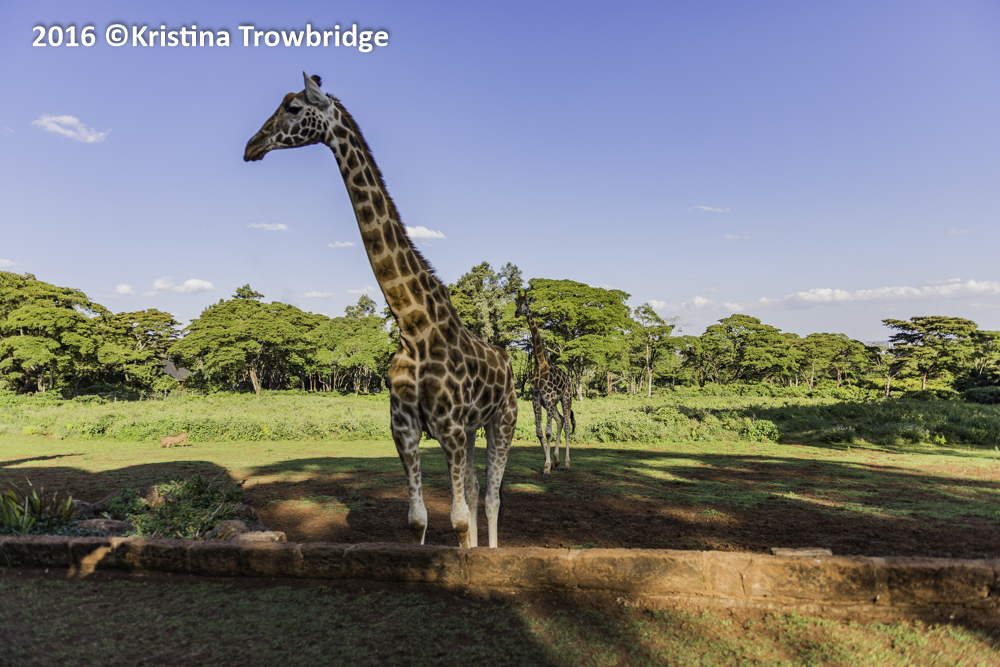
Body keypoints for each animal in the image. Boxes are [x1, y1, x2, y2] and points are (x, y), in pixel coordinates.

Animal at [244, 73, 518, 549]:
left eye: (294, 108)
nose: (251, 145)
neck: (414, 323)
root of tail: (507, 360)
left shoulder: (448, 426)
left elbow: (459, 520)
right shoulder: (405, 427)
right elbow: (419, 520)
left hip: (504, 420)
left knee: (490, 497)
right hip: (472, 430)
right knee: (475, 490)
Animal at [515, 291, 575, 478]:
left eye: (527, 303)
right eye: (516, 302)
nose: (517, 313)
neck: (540, 363)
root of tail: (569, 380)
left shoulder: (547, 397)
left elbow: (548, 432)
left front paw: (547, 468)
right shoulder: (536, 398)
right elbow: (540, 432)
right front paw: (548, 461)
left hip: (565, 398)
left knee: (567, 426)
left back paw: (567, 464)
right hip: (551, 404)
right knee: (560, 420)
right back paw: (556, 460)